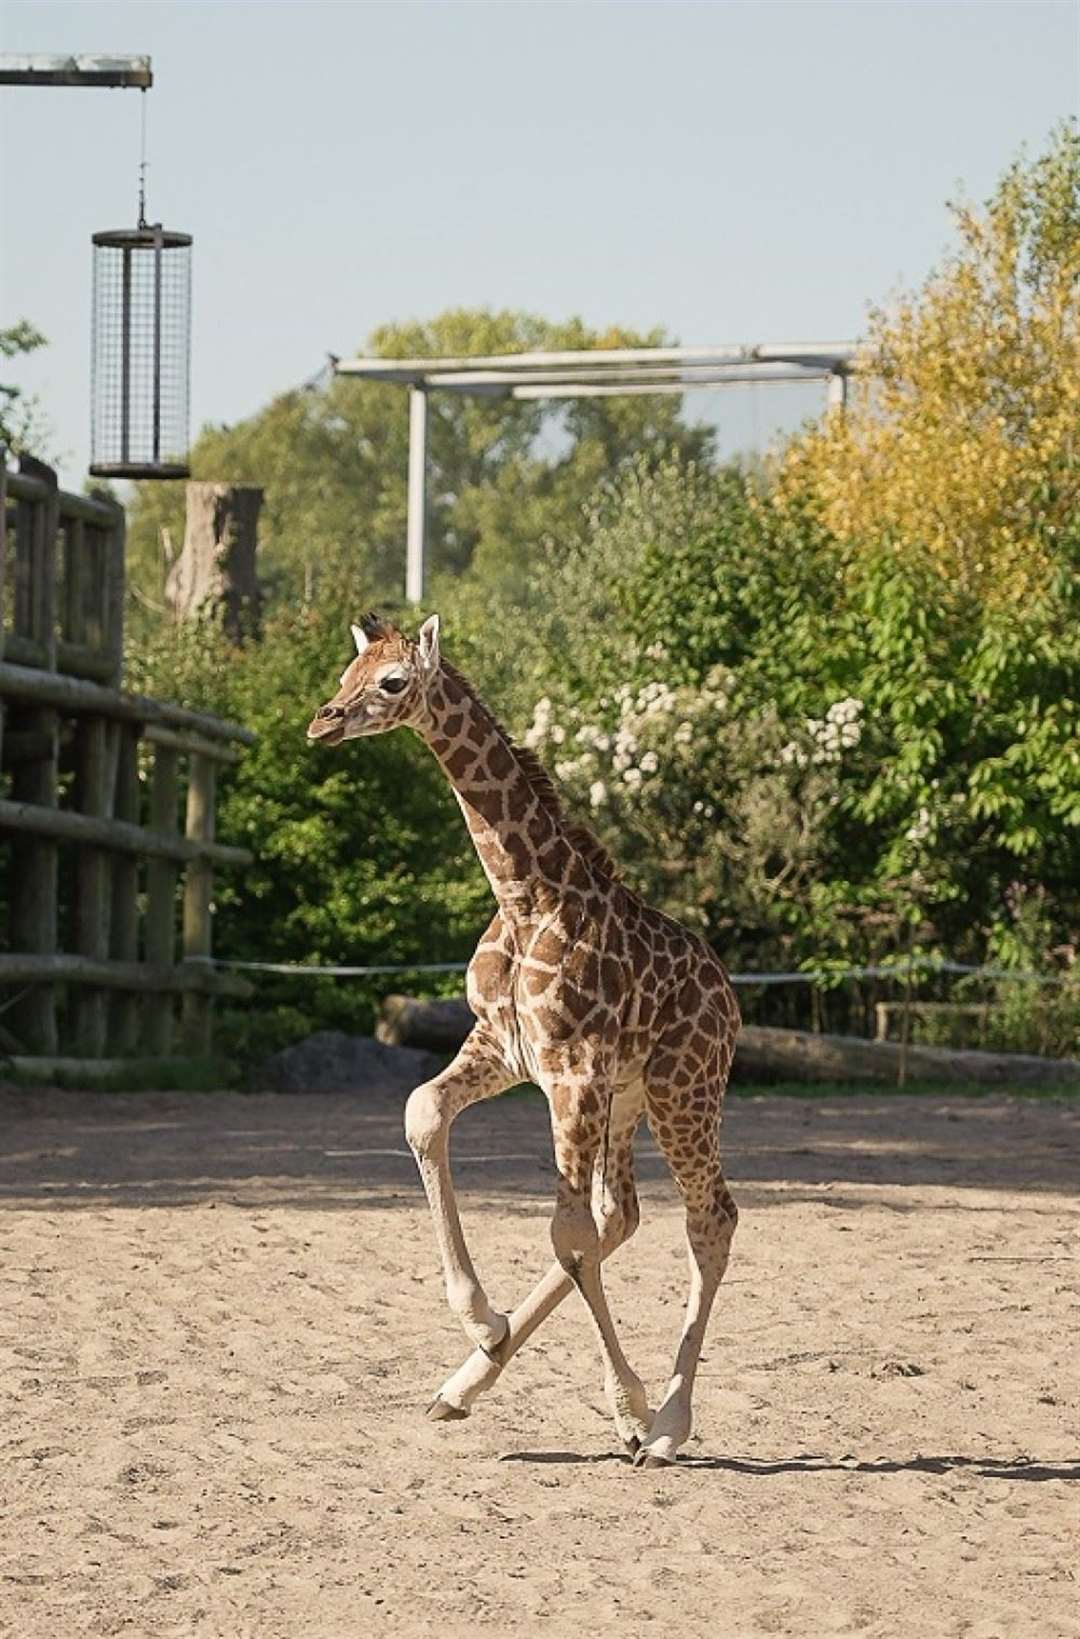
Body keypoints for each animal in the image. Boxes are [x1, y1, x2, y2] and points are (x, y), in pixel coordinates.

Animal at [308, 609, 740, 1468]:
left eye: (392, 682)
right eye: (346, 675)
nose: (323, 721)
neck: (526, 893)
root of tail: (732, 1005)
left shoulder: (570, 1071)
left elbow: (566, 1232)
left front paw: (630, 1408)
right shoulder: (508, 1050)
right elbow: (422, 1112)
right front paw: (483, 1322)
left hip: (684, 1090)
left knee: (710, 1217)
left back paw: (669, 1425)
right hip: (630, 1098)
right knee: (622, 1216)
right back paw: (466, 1381)